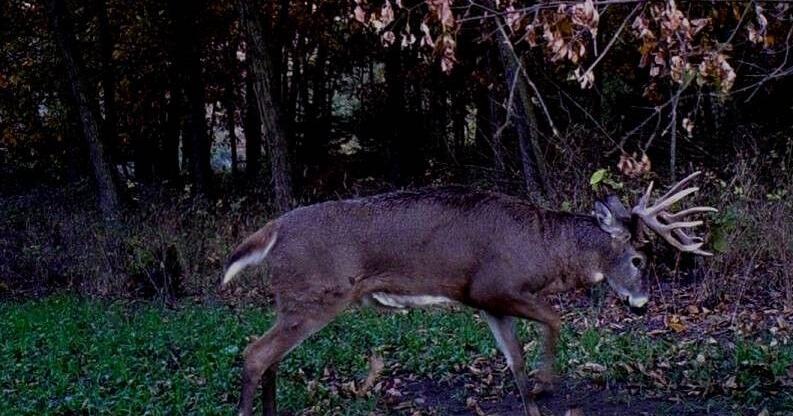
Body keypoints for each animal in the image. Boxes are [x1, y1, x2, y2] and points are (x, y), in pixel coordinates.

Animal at [221, 171, 716, 416]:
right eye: (639, 260)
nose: (642, 304)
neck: (546, 250)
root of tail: (274, 229)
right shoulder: (497, 287)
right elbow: (554, 320)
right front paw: (547, 384)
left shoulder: (488, 304)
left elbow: (515, 362)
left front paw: (534, 399)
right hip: (315, 295)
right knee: (255, 353)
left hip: (295, 300)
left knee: (270, 357)